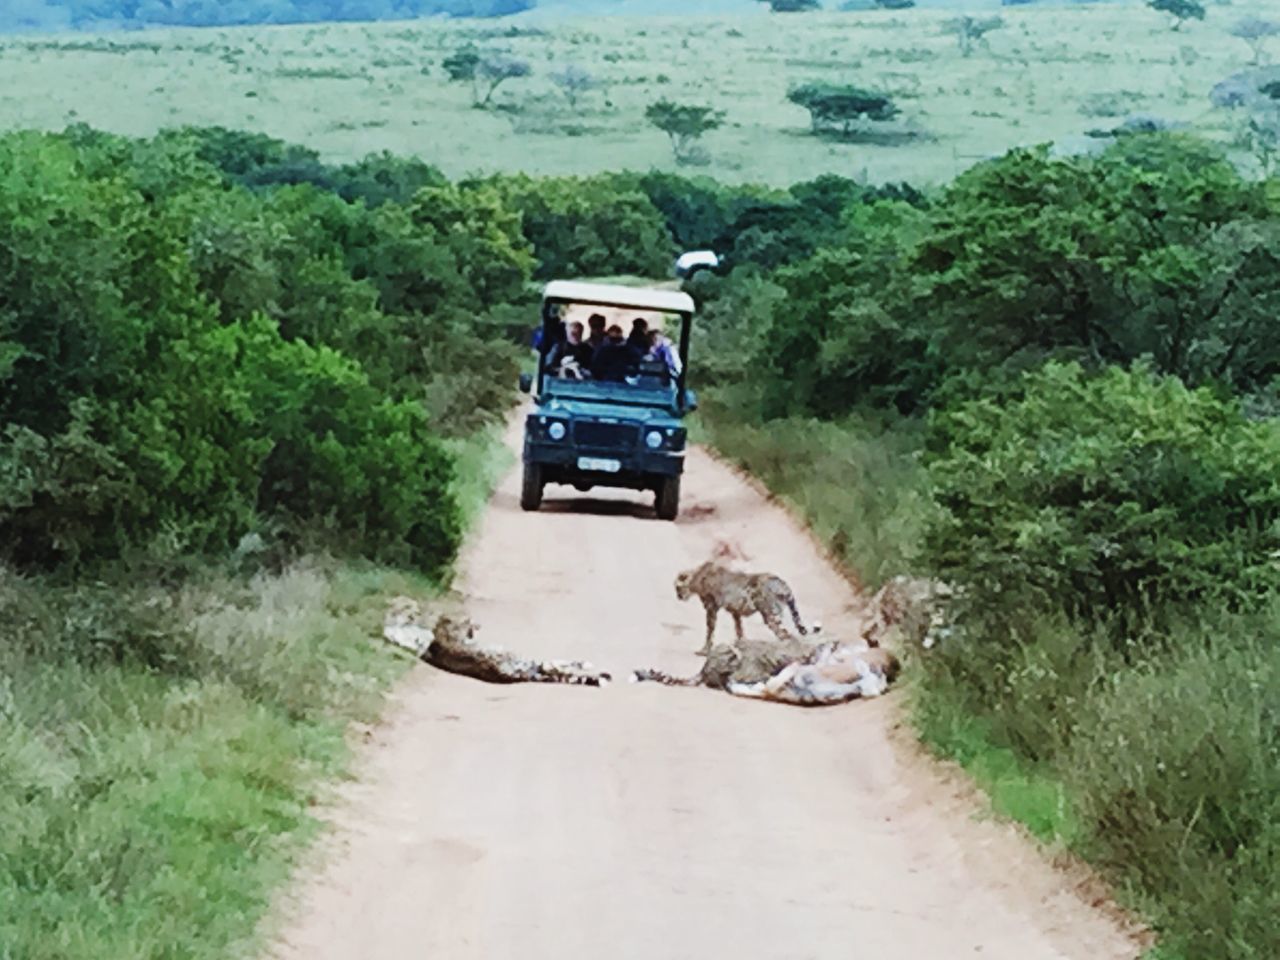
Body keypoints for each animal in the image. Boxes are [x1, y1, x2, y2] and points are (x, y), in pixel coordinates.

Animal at [670, 560, 819, 660]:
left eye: (677, 587)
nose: (678, 596)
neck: (697, 576)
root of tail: (781, 582)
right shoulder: (735, 611)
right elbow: (739, 630)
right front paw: (743, 648)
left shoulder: (712, 608)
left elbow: (710, 631)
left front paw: (704, 651)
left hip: (770, 615)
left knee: (787, 635)